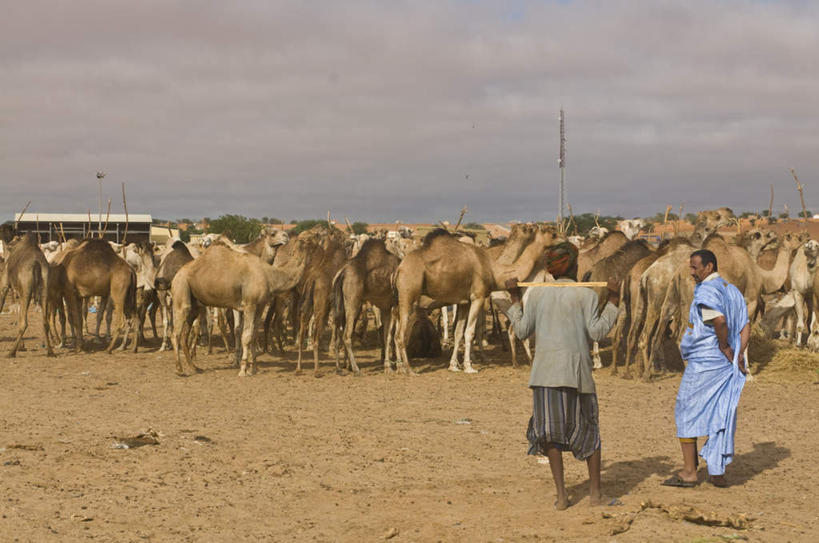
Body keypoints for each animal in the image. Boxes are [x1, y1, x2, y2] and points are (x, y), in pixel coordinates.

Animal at [170, 238, 308, 378]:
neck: (268, 275)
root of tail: (176, 275)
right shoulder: (249, 304)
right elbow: (246, 336)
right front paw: (243, 370)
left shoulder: (260, 306)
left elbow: (253, 335)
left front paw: (254, 368)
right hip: (182, 287)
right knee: (176, 333)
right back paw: (179, 370)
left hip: (194, 304)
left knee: (184, 334)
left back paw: (195, 367)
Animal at [330, 238, 400, 374]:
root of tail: (342, 273)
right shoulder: (396, 304)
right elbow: (394, 334)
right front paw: (399, 366)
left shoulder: (386, 307)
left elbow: (386, 335)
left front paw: (388, 366)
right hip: (353, 301)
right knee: (346, 335)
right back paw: (356, 369)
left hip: (341, 304)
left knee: (338, 332)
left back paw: (340, 367)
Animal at [396, 225, 560, 374]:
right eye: (553, 234)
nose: (563, 238)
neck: (494, 270)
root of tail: (399, 269)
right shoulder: (479, 297)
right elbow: (472, 331)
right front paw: (470, 366)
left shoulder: (464, 302)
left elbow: (459, 332)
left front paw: (454, 365)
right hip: (407, 296)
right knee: (399, 335)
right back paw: (407, 369)